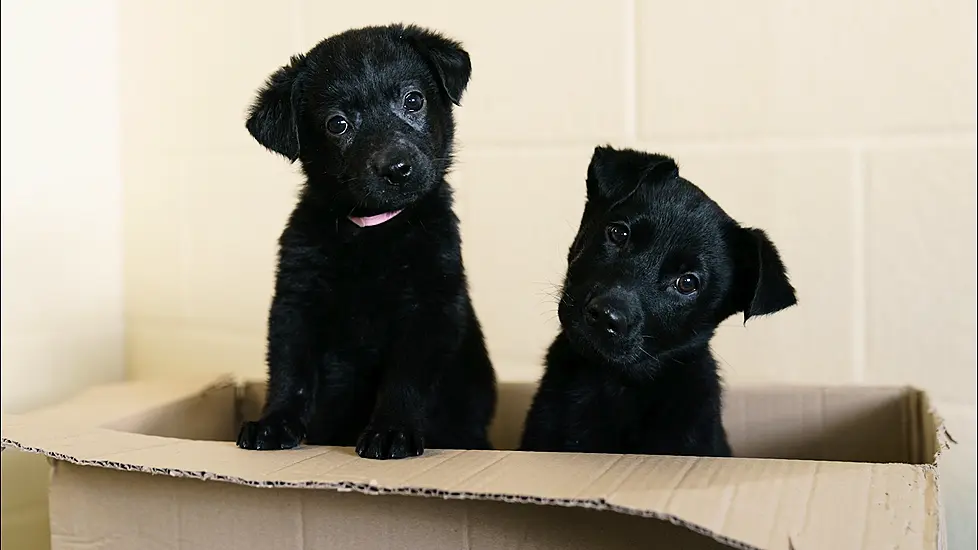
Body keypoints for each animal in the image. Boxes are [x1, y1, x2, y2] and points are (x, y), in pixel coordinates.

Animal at [236, 24, 496, 462]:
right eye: (337, 124)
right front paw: (275, 422)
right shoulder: (295, 301)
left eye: (414, 100)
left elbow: (405, 377)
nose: (397, 168)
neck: (371, 231)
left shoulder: (430, 306)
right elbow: (290, 371)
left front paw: (392, 430)